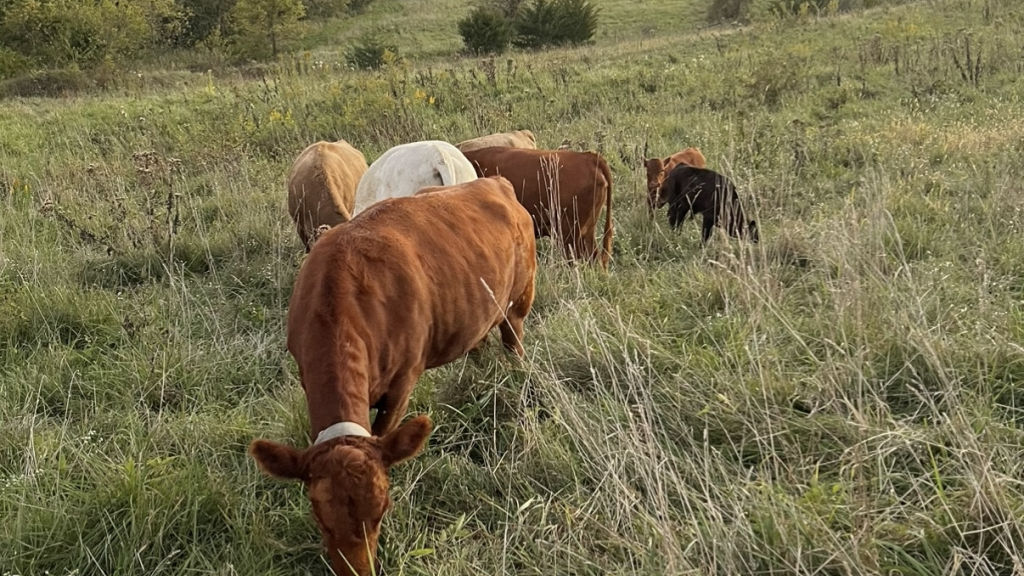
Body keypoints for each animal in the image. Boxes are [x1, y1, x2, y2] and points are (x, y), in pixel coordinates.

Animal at [249, 175, 537, 576]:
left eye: (383, 510)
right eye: (319, 518)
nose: (360, 572)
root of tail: (494, 181)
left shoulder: (403, 383)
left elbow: (384, 430)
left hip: (519, 304)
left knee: (515, 346)